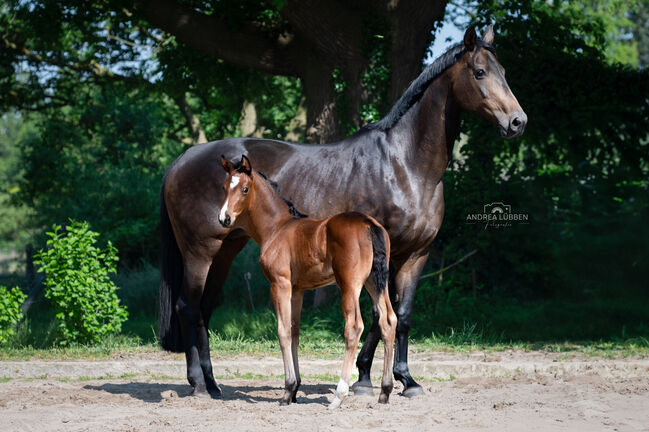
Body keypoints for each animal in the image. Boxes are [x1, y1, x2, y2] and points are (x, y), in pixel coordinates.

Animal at [218, 155, 394, 408]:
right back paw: (385, 391)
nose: (224, 218)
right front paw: (294, 391)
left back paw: (338, 395)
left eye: (244, 189)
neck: (276, 228)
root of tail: (369, 224)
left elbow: (282, 331)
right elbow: (294, 332)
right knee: (389, 321)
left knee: (354, 327)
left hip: (349, 285)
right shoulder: (298, 289)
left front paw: (287, 390)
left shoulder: (279, 284)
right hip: (376, 282)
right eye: (225, 187)